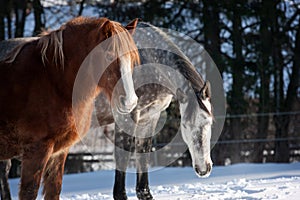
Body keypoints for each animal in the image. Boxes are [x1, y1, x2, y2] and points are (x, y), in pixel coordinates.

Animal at [0, 16, 140, 200]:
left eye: (132, 58)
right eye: (109, 55)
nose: (130, 101)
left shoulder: (59, 152)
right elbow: (29, 192)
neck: (52, 80)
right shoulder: (36, 150)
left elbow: (54, 190)